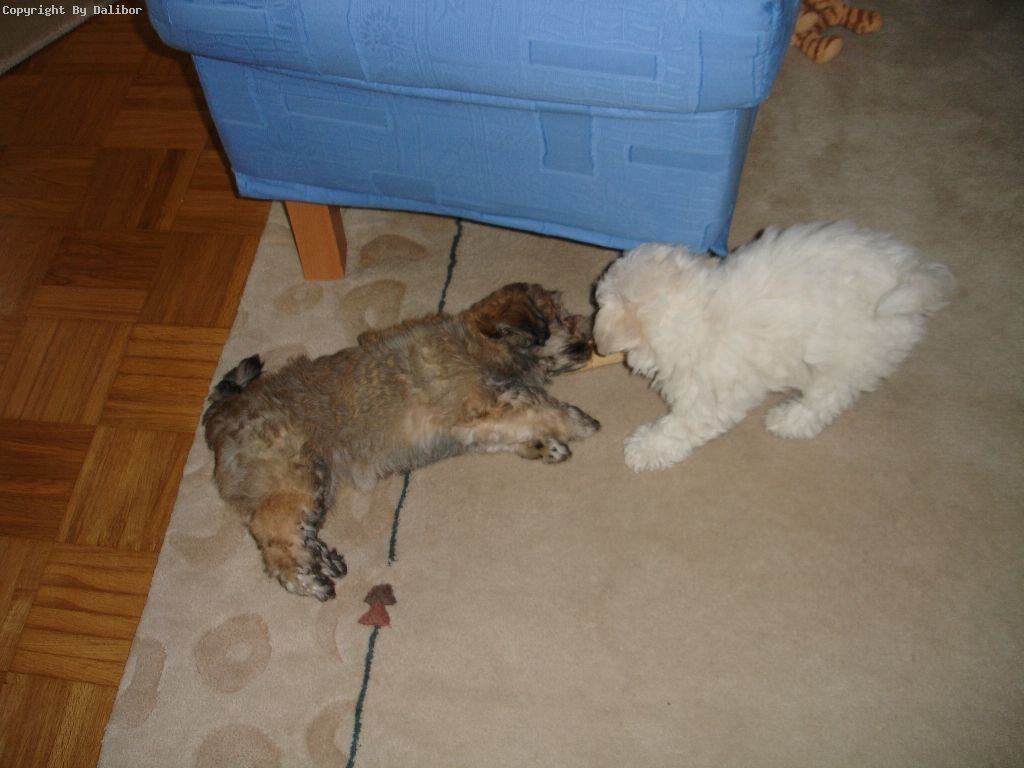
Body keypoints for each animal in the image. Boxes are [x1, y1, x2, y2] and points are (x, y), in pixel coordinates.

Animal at [203, 283, 599, 599]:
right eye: (562, 317)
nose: (590, 332)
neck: (481, 343)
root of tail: (225, 410)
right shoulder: (476, 414)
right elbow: (535, 412)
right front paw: (574, 422)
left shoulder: (478, 426)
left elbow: (515, 427)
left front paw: (543, 444)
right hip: (296, 477)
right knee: (272, 534)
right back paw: (306, 579)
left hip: (313, 483)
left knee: (298, 530)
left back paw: (323, 561)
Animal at [593, 221, 954, 471]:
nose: (597, 342)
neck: (699, 310)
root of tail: (911, 275)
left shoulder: (711, 393)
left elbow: (682, 425)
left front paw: (645, 447)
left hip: (851, 355)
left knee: (828, 396)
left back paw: (789, 419)